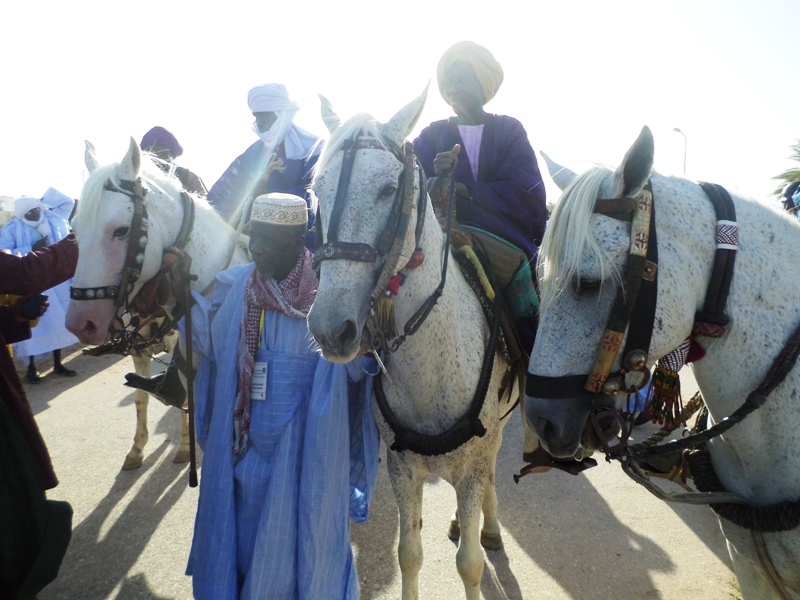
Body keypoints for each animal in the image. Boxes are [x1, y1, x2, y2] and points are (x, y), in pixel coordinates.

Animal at [66, 139, 250, 468]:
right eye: (74, 230)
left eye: (121, 230)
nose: (81, 324)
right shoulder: (143, 353)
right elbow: (143, 397)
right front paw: (137, 447)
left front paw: (184, 446)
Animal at [306, 90, 520, 600]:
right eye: (318, 190)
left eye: (388, 189)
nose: (330, 329)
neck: (432, 369)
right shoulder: (401, 469)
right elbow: (409, 554)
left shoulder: (470, 468)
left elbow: (470, 566)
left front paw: (479, 537)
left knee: (492, 474)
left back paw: (489, 525)